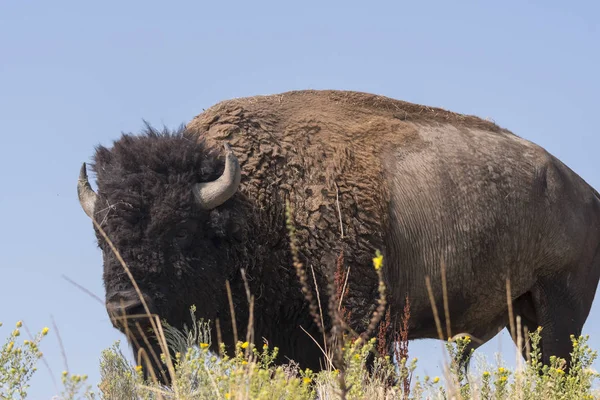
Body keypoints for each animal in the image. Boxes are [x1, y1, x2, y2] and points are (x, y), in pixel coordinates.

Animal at [77, 90, 596, 382]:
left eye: (180, 229)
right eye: (101, 237)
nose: (125, 308)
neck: (255, 206)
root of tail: (584, 191)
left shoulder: (360, 325)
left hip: (559, 313)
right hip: (521, 316)